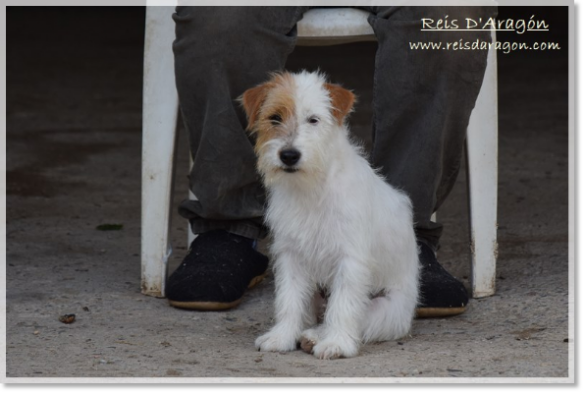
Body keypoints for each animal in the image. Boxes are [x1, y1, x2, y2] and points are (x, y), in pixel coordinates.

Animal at [240, 71, 418, 360]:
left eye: (314, 119)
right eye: (275, 118)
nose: (289, 155)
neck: (312, 187)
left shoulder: (350, 259)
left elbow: (343, 305)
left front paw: (337, 344)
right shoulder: (291, 256)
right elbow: (289, 300)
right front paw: (281, 337)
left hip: (385, 310)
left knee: (351, 317)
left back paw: (316, 336)